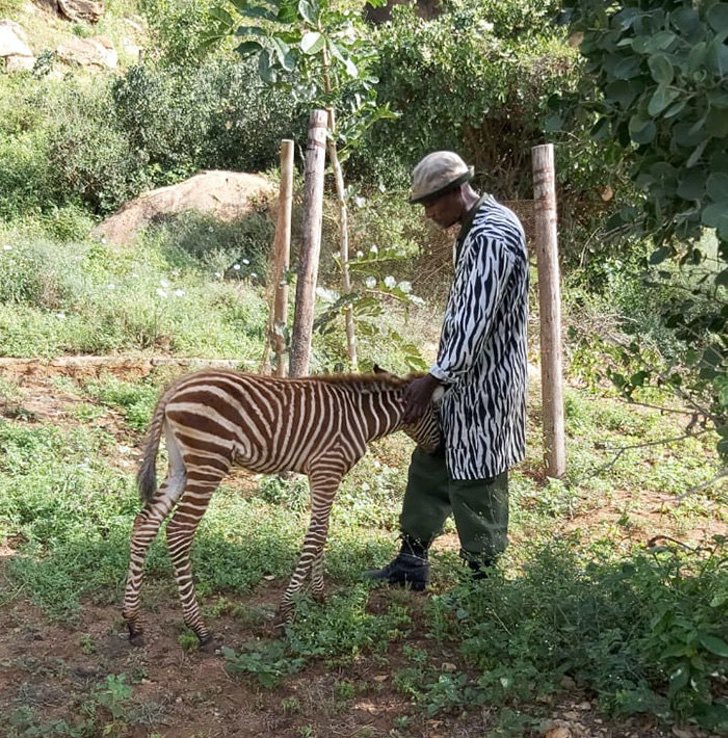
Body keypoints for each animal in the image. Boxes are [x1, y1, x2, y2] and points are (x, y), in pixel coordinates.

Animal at [122, 368, 441, 646]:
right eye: (439, 414)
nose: (439, 452)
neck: (362, 418)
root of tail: (176, 386)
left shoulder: (321, 473)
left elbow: (322, 531)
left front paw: (318, 596)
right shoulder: (328, 469)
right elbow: (316, 535)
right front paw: (287, 610)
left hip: (181, 464)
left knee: (145, 522)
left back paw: (133, 621)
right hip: (209, 461)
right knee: (178, 531)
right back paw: (199, 629)